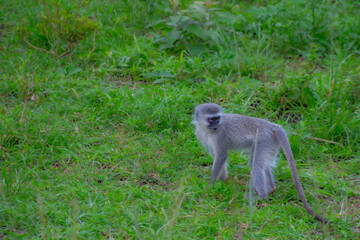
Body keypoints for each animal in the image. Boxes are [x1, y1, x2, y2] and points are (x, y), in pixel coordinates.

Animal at [193, 102, 328, 222]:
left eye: (217, 118)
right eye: (211, 119)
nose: (215, 125)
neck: (207, 130)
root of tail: (272, 126)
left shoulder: (220, 136)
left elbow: (221, 157)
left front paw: (210, 185)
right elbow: (217, 158)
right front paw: (223, 181)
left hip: (264, 140)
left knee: (255, 163)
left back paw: (262, 196)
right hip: (271, 143)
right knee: (264, 164)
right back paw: (271, 189)